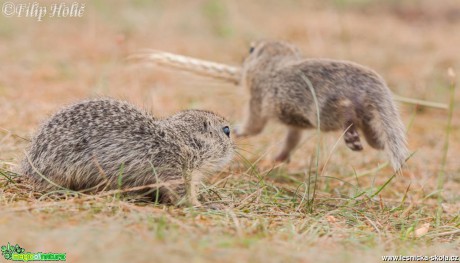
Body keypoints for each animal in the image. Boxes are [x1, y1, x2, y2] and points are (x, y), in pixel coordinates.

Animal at [19, 98, 234, 206]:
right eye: (226, 131)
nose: (234, 148)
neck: (183, 141)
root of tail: (29, 166)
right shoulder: (175, 171)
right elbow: (181, 194)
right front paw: (200, 205)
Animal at [235, 39, 408, 171]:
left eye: (251, 49)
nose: (242, 61)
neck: (272, 64)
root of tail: (365, 83)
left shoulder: (257, 99)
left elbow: (254, 126)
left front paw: (238, 130)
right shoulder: (294, 124)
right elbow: (292, 140)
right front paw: (279, 158)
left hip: (324, 115)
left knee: (346, 113)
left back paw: (351, 136)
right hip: (370, 114)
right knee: (376, 138)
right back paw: (371, 137)